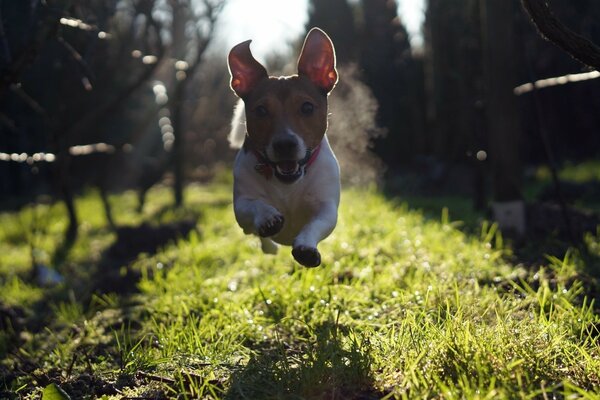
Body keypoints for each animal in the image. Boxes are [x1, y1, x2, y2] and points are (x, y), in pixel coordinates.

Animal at [227, 26, 340, 268]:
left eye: (307, 107)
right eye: (261, 111)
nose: (285, 144)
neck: (286, 182)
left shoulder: (326, 208)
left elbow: (316, 223)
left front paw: (306, 247)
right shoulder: (241, 205)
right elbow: (253, 206)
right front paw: (268, 217)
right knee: (259, 237)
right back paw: (269, 245)